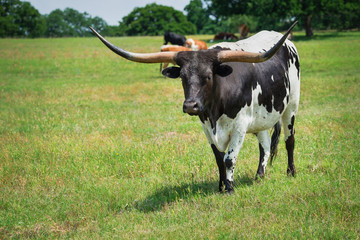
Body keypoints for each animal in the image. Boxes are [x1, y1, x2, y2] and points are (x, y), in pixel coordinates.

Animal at [90, 22, 300, 193]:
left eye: (208, 76)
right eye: (182, 77)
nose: (191, 105)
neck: (215, 111)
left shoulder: (240, 125)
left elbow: (229, 159)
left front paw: (230, 189)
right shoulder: (207, 127)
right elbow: (219, 159)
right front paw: (221, 187)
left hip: (291, 106)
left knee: (289, 140)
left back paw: (291, 172)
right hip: (261, 117)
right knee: (265, 145)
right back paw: (259, 176)